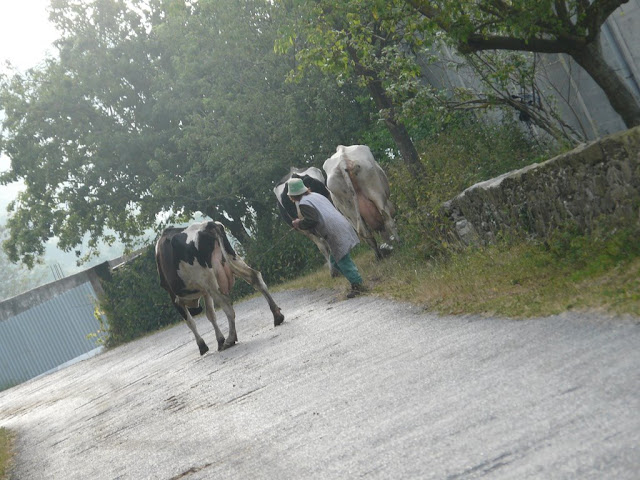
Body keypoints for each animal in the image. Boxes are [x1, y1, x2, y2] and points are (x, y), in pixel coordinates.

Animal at [155, 219, 282, 354]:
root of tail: (209, 224)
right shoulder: (205, 291)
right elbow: (211, 315)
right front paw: (219, 340)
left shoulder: (175, 297)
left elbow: (190, 322)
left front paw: (203, 346)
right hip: (232, 259)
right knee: (256, 278)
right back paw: (277, 316)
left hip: (210, 281)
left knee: (227, 306)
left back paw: (230, 339)